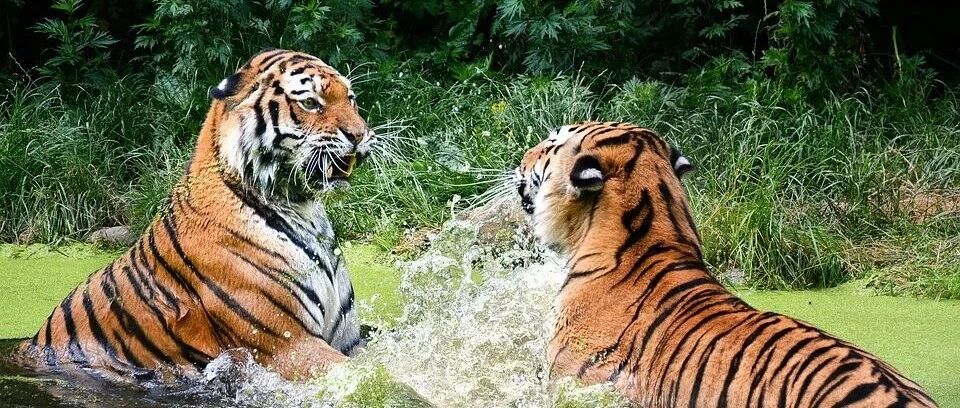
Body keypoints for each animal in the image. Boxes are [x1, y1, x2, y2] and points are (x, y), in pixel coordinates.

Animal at [13, 49, 375, 382]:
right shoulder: (289, 344)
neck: (304, 210)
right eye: (311, 103)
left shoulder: (347, 340)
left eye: (351, 99)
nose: (360, 135)